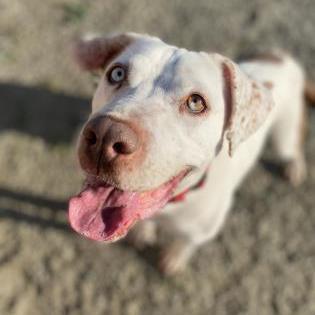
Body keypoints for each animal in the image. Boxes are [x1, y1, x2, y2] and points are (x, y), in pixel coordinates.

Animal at [69, 32, 315, 274]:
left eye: (196, 102)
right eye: (117, 73)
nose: (105, 136)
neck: (172, 204)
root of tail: (281, 57)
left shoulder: (201, 232)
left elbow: (185, 243)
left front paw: (174, 258)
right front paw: (143, 232)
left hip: (285, 136)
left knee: (292, 149)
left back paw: (295, 168)